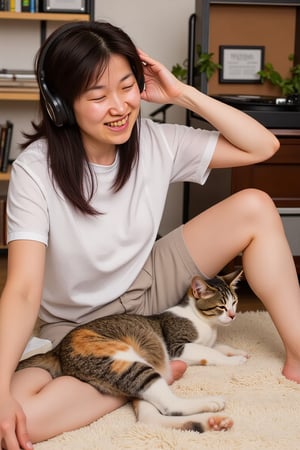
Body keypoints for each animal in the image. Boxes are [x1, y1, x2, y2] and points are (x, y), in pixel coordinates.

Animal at [16, 268, 247, 434]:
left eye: (234, 302)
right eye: (221, 306)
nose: (233, 315)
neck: (207, 324)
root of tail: (58, 349)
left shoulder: (209, 342)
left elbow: (220, 347)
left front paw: (239, 352)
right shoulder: (178, 347)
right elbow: (212, 354)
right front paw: (236, 361)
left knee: (150, 419)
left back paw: (213, 423)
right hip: (127, 363)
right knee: (169, 405)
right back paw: (211, 404)